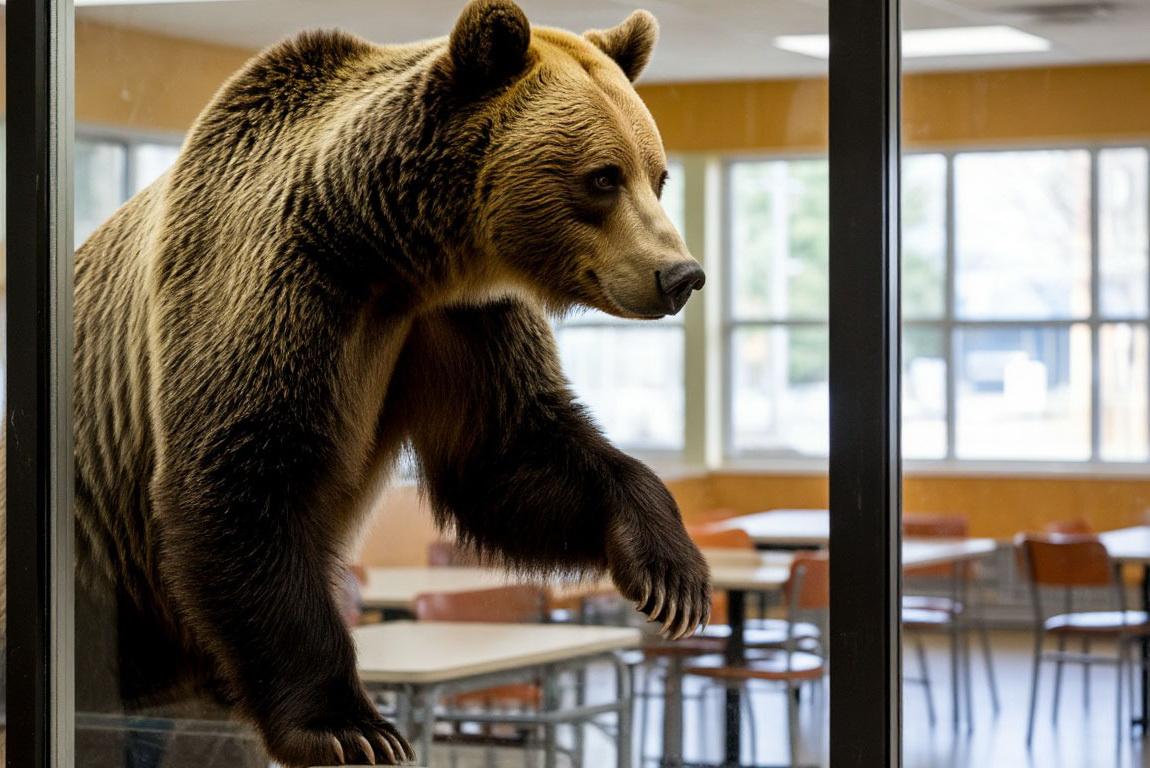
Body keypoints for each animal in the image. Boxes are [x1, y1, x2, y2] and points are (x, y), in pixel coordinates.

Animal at [48, 1, 714, 765]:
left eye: (656, 176)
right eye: (603, 177)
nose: (681, 274)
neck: (393, 255)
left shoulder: (459, 321)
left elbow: (510, 451)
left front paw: (672, 575)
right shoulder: (275, 285)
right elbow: (246, 476)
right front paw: (350, 725)